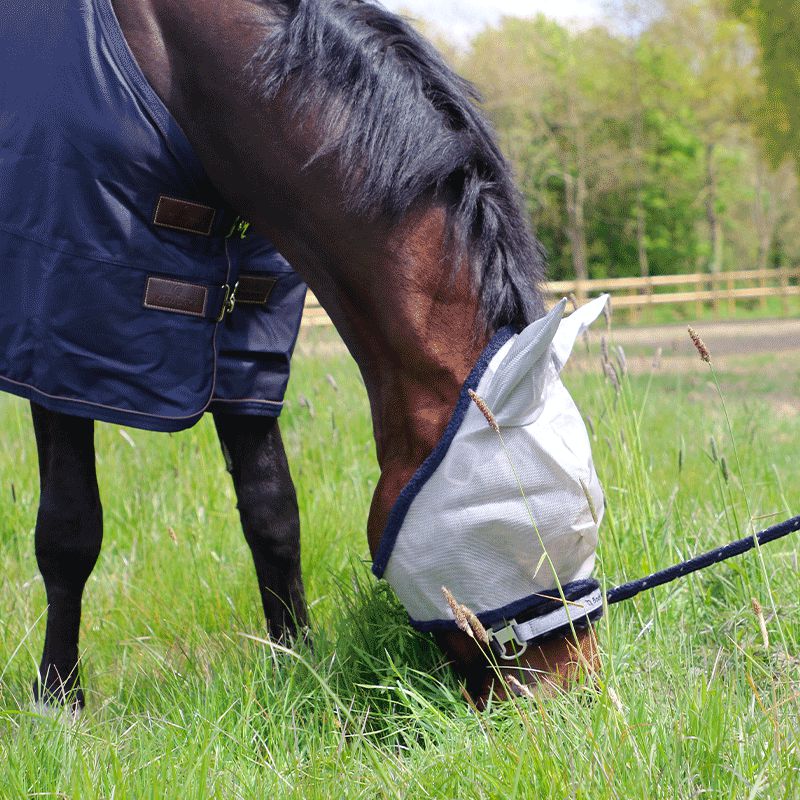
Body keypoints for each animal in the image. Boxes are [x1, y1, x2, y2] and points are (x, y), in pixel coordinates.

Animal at [0, 0, 600, 712]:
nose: (578, 694)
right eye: (521, 530)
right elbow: (70, 528)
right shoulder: (65, 341)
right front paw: (57, 697)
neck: (172, 66)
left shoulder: (243, 349)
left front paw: (296, 658)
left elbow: (272, 511)